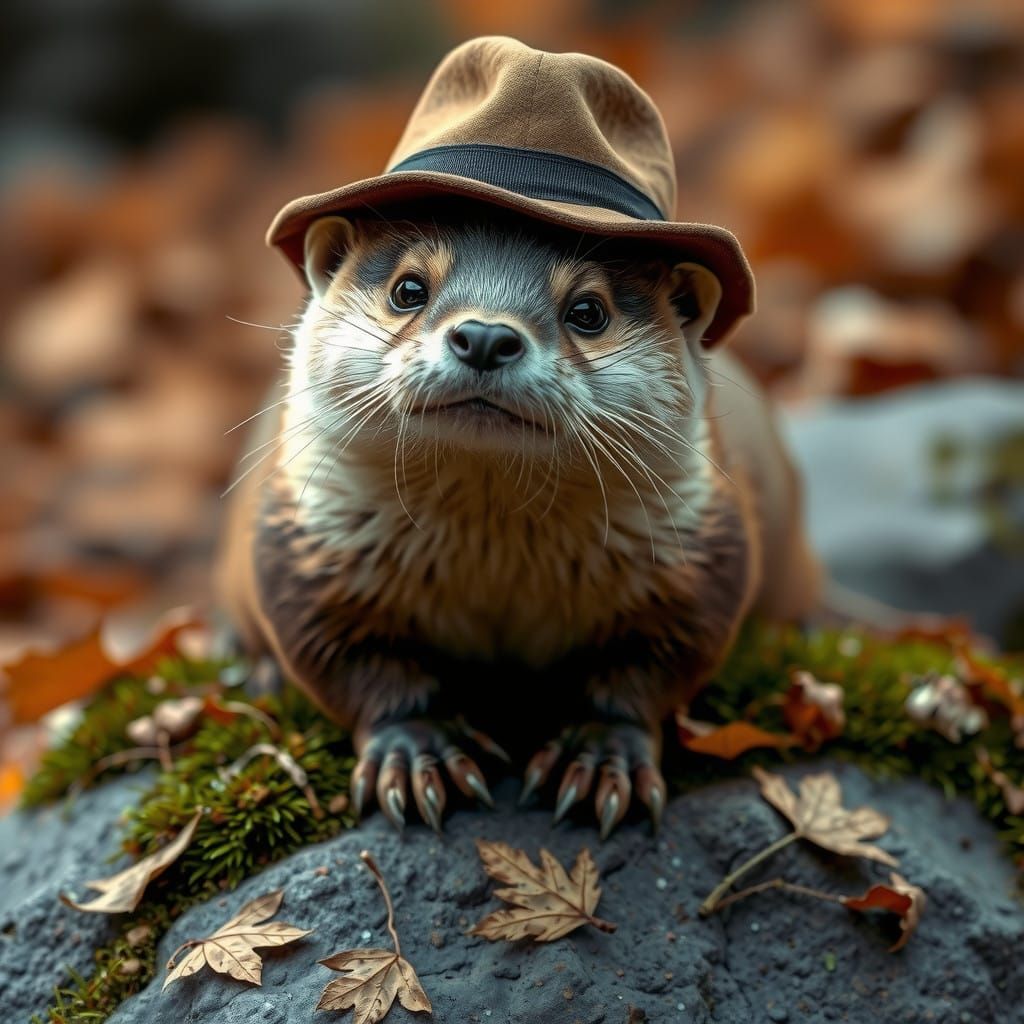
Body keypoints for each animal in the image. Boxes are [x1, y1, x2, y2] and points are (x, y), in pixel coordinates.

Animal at [217, 202, 821, 837]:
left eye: (588, 311)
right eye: (408, 289)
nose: (485, 335)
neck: (497, 569)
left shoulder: (697, 567)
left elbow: (652, 673)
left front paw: (601, 757)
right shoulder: (306, 555)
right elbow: (350, 666)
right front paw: (417, 750)